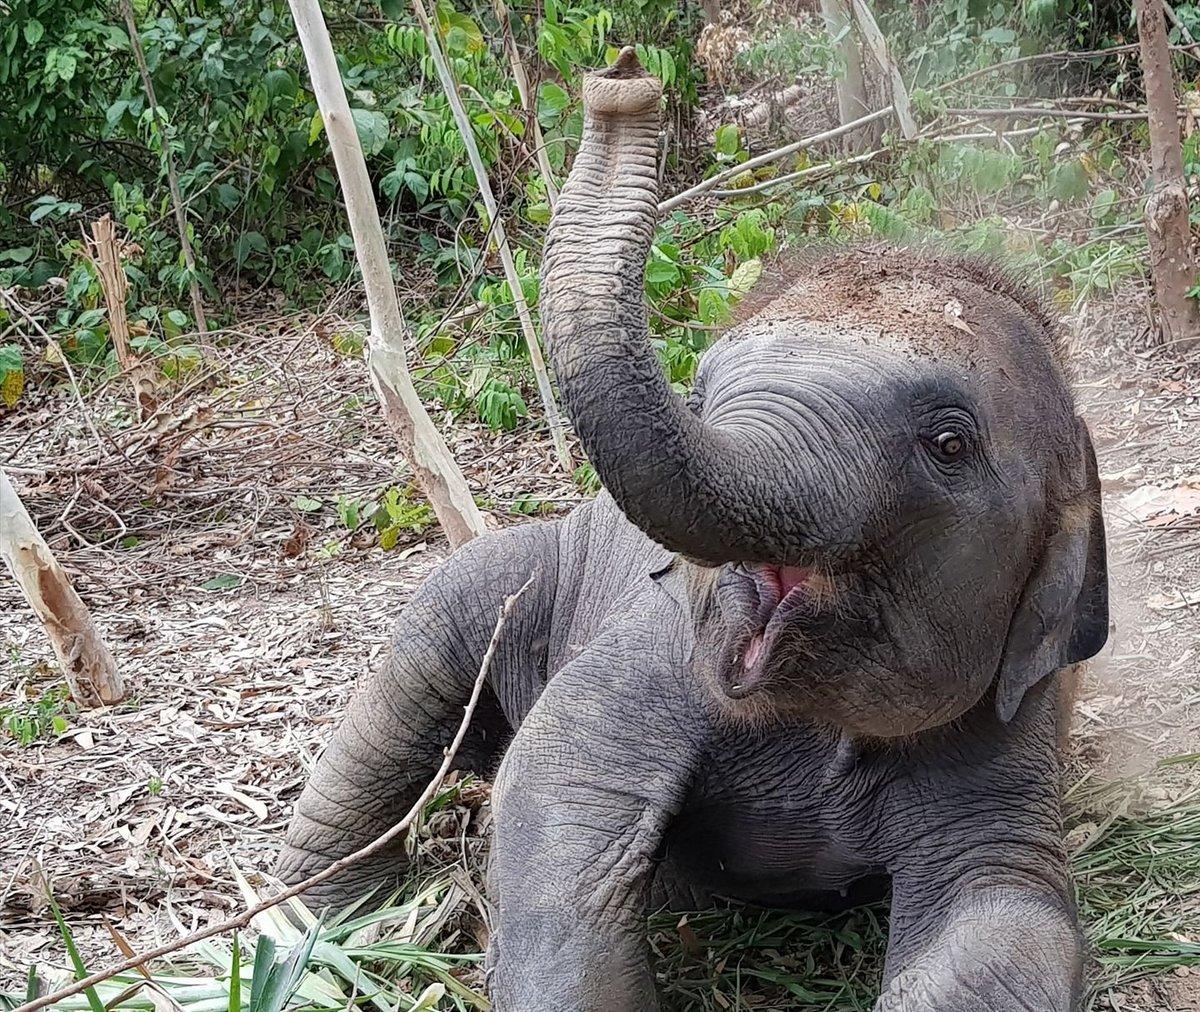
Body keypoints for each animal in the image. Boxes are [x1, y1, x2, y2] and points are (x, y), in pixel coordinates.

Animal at [276, 49, 1109, 1011]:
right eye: (702, 396)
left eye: (950, 443)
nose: (621, 75)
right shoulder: (656, 637)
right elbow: (559, 787)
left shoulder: (1017, 715)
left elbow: (1004, 912)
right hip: (507, 576)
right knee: (419, 669)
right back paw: (327, 932)